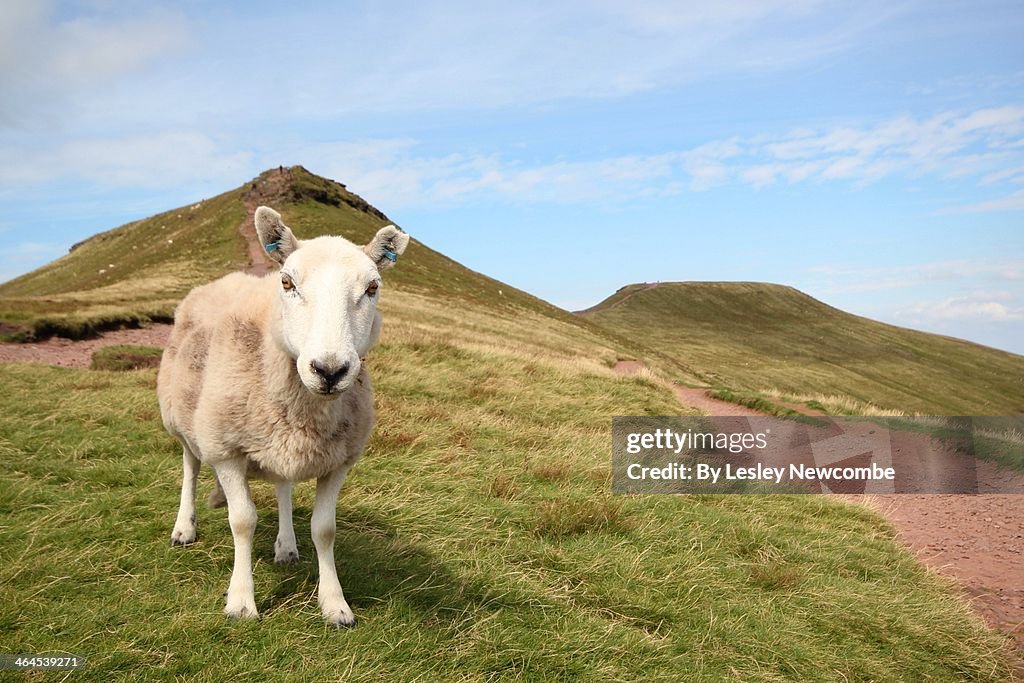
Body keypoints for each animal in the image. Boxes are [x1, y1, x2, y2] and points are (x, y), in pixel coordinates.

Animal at [157, 206, 409, 625]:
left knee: (283, 485)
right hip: (186, 422)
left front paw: (335, 603)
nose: (329, 370)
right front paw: (241, 601)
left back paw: (286, 545)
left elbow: (324, 529)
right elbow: (242, 521)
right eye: (287, 282)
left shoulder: (338, 461)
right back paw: (184, 527)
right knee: (190, 467)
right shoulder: (226, 450)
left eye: (372, 288)